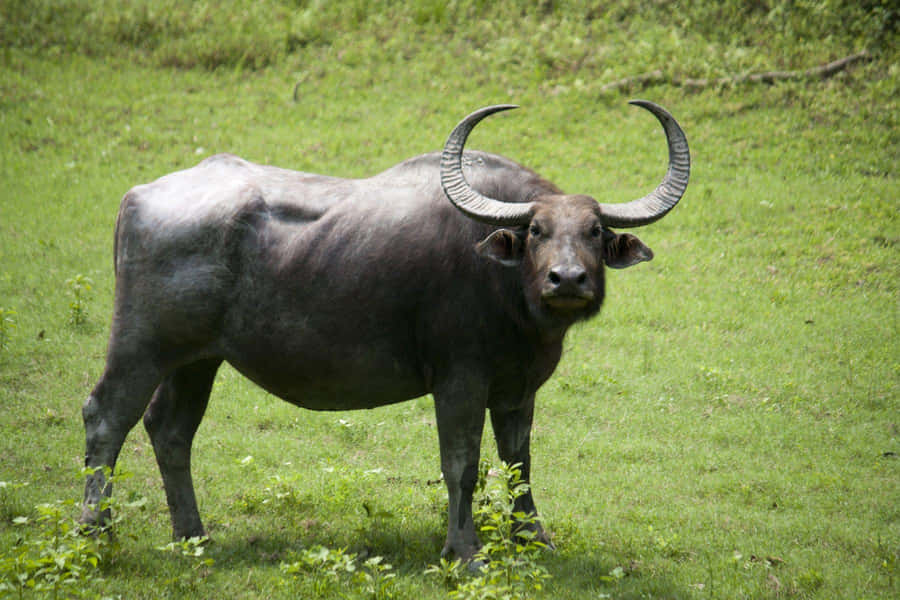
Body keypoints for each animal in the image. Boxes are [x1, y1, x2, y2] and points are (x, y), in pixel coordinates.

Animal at [79, 101, 690, 560]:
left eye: (594, 231)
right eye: (536, 230)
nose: (567, 280)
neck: (504, 284)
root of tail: (136, 198)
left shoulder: (517, 391)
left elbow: (519, 465)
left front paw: (531, 538)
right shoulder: (459, 381)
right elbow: (461, 465)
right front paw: (463, 551)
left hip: (195, 359)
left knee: (170, 430)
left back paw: (192, 536)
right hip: (141, 347)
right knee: (106, 418)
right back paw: (95, 535)